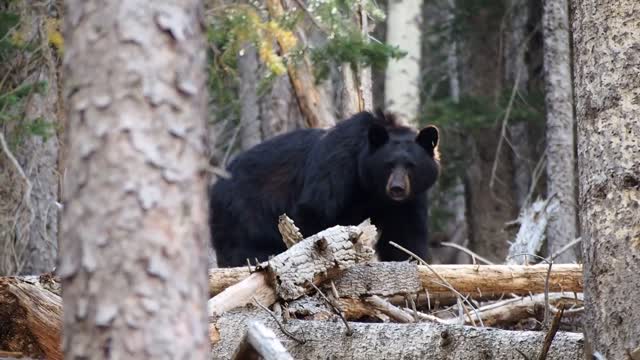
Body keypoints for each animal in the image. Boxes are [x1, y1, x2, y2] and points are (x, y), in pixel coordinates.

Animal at [210, 109, 440, 268]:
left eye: (411, 165)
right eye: (388, 165)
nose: (397, 188)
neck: (369, 187)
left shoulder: (409, 201)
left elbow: (405, 236)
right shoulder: (337, 164)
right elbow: (316, 210)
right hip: (243, 211)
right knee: (243, 247)